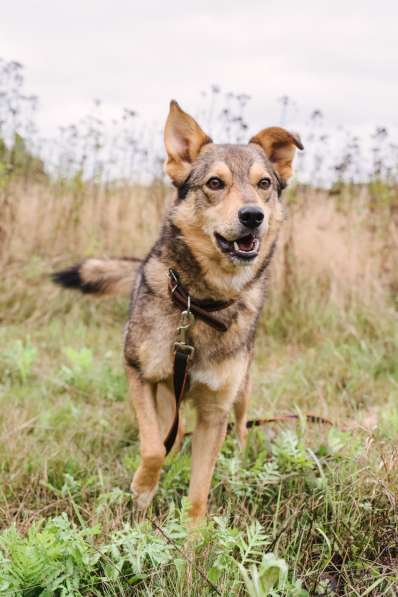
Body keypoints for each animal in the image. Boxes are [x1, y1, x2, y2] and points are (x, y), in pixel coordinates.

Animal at [52, 100, 302, 524]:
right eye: (215, 184)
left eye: (264, 184)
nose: (253, 215)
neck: (200, 305)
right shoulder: (138, 373)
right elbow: (153, 447)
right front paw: (142, 488)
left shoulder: (215, 412)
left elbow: (199, 493)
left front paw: (193, 538)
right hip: (167, 393)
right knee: (171, 428)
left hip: (242, 392)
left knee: (241, 428)